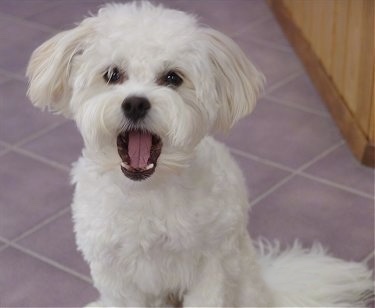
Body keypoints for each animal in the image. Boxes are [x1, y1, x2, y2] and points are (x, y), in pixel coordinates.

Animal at [26, 1, 374, 306]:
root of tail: (268, 286)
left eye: (172, 77)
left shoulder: (211, 267)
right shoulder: (116, 275)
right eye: (112, 74)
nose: (135, 103)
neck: (147, 191)